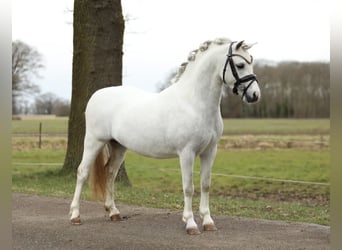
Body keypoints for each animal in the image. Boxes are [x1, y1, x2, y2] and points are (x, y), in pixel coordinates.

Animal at [70, 38, 262, 235]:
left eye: (251, 62)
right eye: (240, 65)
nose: (254, 95)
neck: (193, 103)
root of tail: (96, 95)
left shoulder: (210, 151)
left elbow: (205, 184)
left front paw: (208, 221)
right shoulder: (187, 153)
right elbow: (189, 188)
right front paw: (190, 223)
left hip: (118, 146)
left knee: (110, 173)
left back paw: (113, 212)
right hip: (94, 141)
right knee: (82, 172)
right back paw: (75, 216)